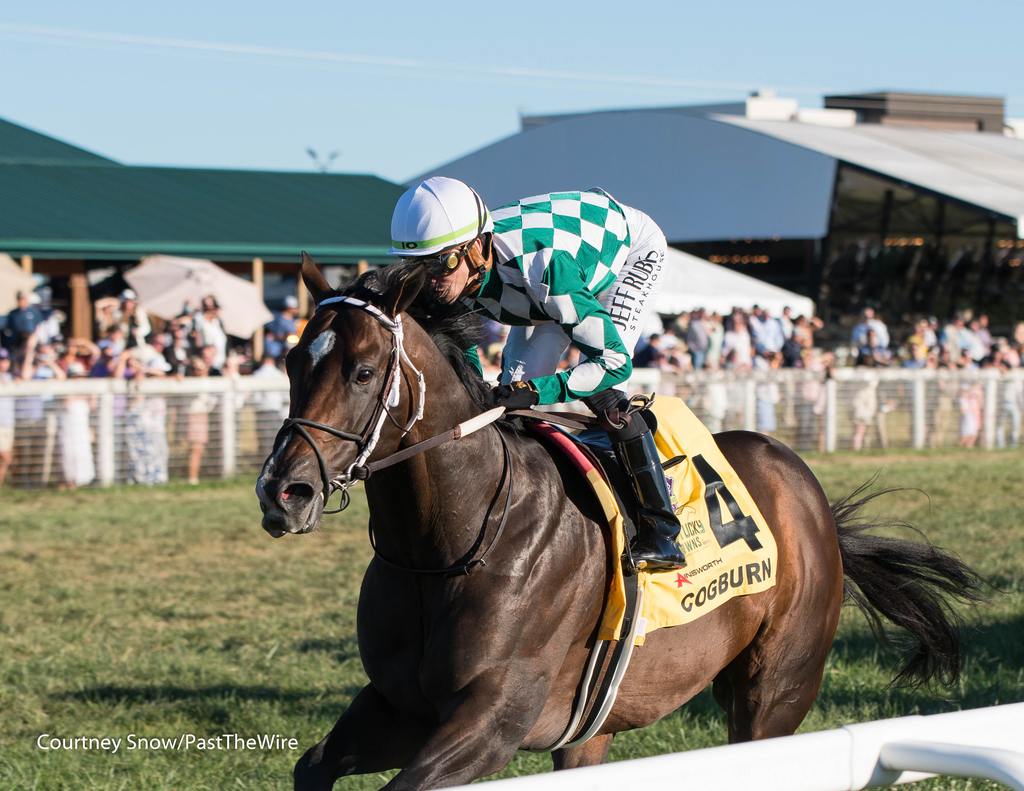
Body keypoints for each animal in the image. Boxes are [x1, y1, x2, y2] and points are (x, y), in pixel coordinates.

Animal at [251, 256, 978, 786]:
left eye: (364, 370)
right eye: (290, 362)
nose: (282, 491)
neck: (448, 544)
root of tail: (810, 494)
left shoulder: (490, 719)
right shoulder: (399, 704)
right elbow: (312, 765)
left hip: (776, 692)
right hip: (592, 729)